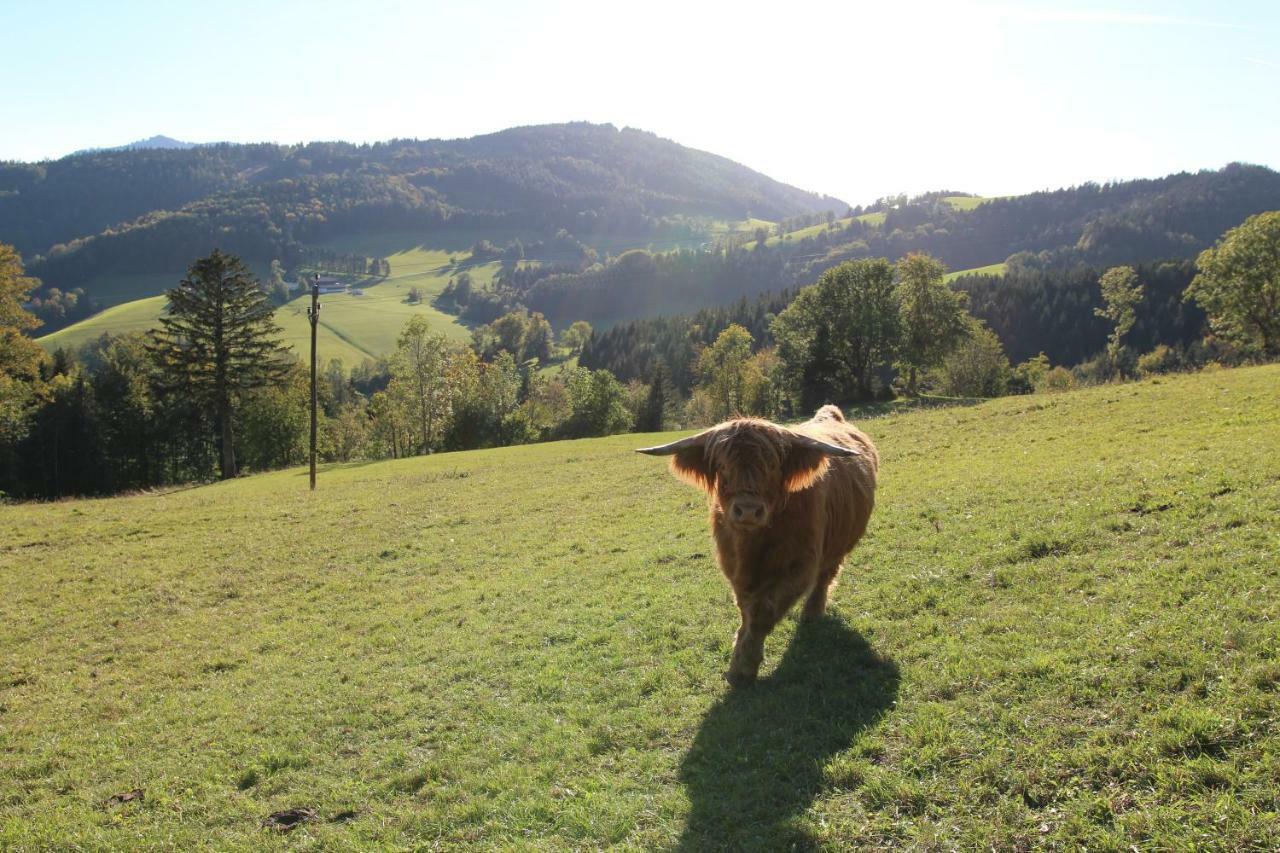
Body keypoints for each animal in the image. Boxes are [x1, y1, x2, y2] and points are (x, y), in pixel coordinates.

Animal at [640, 404, 880, 686]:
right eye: (722, 466)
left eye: (774, 466)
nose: (747, 510)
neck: (753, 545)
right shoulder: (735, 568)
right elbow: (746, 609)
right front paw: (739, 656)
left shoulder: (800, 567)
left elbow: (763, 613)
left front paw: (743, 667)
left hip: (840, 544)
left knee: (825, 577)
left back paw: (812, 613)